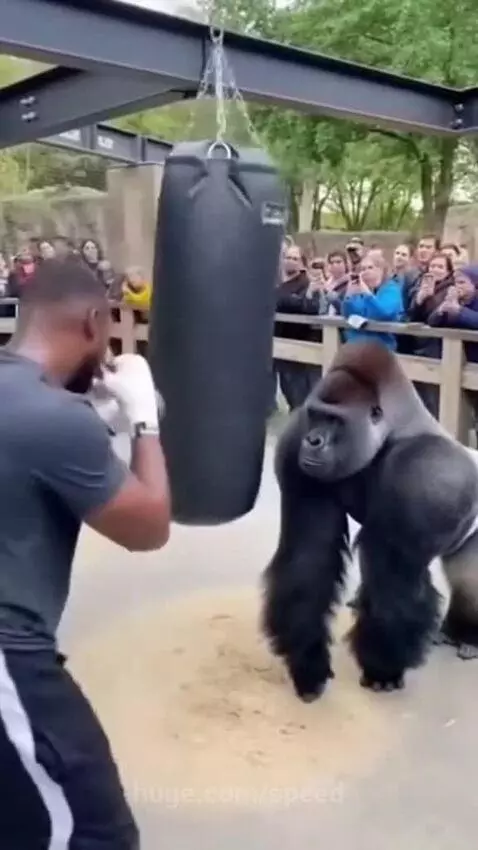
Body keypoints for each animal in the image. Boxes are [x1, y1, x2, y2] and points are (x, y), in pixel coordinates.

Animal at [262, 340, 478, 701]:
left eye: (335, 420)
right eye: (316, 415)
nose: (313, 440)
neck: (391, 431)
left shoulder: (427, 471)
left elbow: (394, 579)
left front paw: (382, 668)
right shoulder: (294, 446)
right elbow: (309, 556)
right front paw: (307, 663)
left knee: (469, 579)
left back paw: (466, 635)